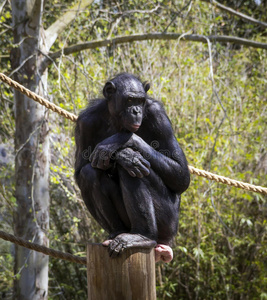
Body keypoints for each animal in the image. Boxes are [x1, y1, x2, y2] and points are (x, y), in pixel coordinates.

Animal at [74, 72, 189, 262]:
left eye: (140, 101)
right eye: (129, 100)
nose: (136, 111)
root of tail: (164, 245)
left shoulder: (158, 115)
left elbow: (181, 175)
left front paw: (123, 145)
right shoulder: (85, 123)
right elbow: (79, 170)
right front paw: (124, 155)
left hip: (169, 223)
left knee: (132, 171)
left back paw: (143, 236)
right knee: (89, 173)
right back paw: (117, 233)